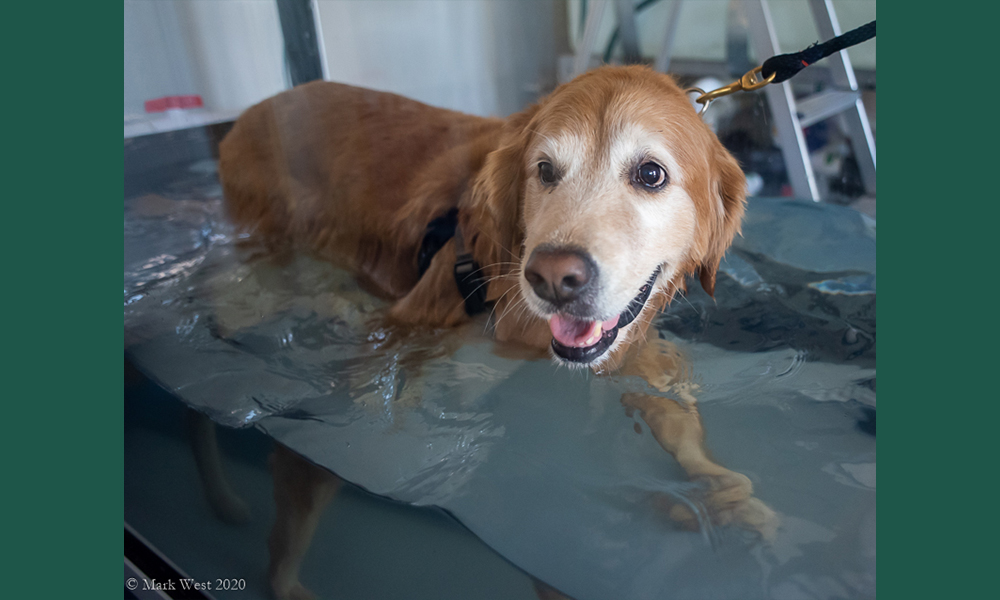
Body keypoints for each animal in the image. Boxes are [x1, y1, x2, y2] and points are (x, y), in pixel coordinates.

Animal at [219, 65, 776, 600]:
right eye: (545, 170)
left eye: (651, 174)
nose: (552, 277)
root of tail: (254, 110)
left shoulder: (635, 351)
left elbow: (679, 422)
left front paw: (728, 499)